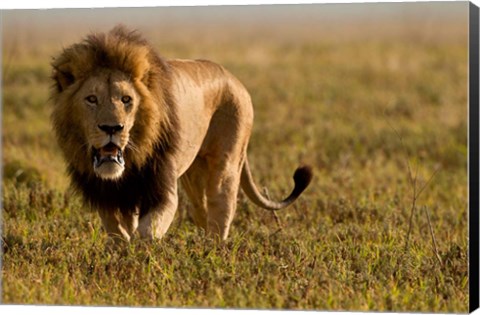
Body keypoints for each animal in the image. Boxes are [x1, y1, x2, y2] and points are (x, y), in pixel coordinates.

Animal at [50, 26, 314, 242]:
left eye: (126, 99)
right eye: (91, 99)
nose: (112, 128)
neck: (132, 159)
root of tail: (233, 78)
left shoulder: (162, 191)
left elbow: (145, 232)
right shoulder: (109, 196)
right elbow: (118, 232)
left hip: (226, 164)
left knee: (221, 212)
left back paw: (215, 255)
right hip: (193, 176)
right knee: (203, 214)